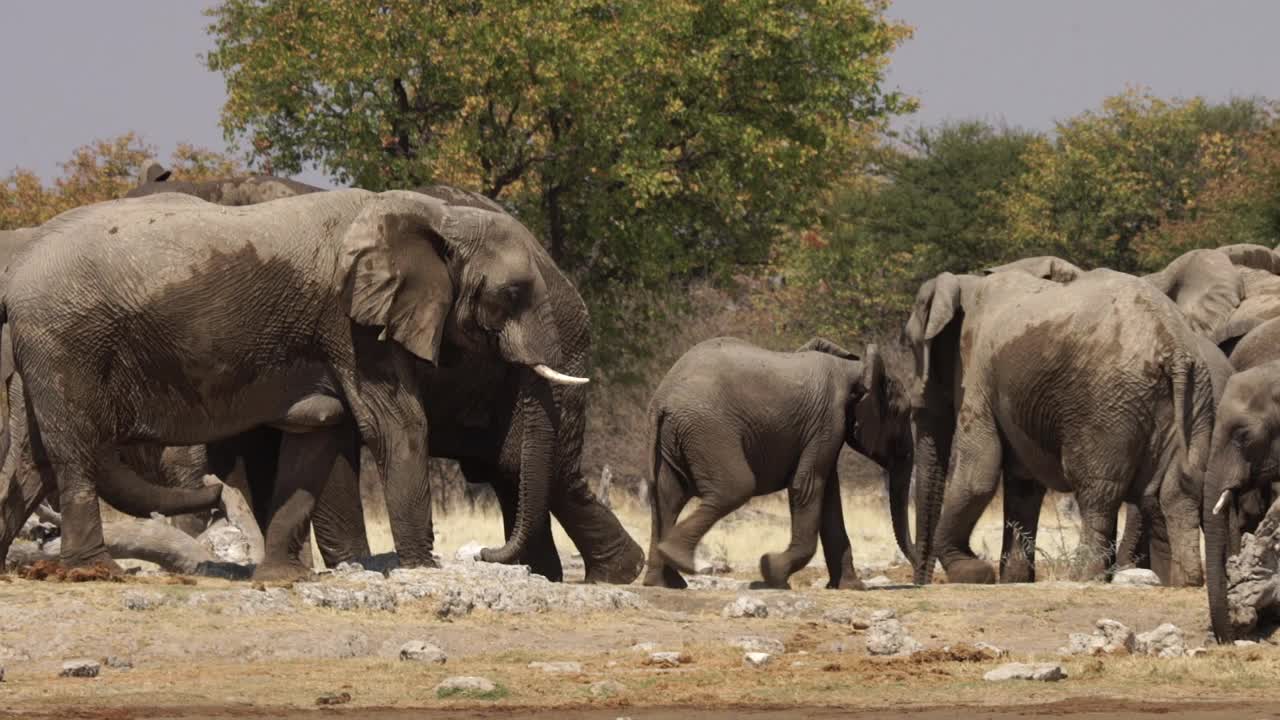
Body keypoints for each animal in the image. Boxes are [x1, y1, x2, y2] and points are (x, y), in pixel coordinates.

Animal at [0, 185, 586, 576]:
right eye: (512, 293)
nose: (483, 552)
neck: (435, 216)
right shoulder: (351, 321)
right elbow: (397, 424)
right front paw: (424, 570)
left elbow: (321, 425)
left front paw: (283, 580)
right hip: (63, 339)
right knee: (72, 449)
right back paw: (94, 570)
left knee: (33, 460)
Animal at [645, 335, 916, 589]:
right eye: (903, 415)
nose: (918, 578)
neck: (854, 368)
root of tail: (660, 400)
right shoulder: (827, 420)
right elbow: (806, 486)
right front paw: (771, 571)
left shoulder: (824, 431)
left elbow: (829, 498)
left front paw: (851, 587)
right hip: (707, 430)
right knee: (735, 488)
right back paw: (676, 557)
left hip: (677, 437)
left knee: (667, 498)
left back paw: (664, 581)